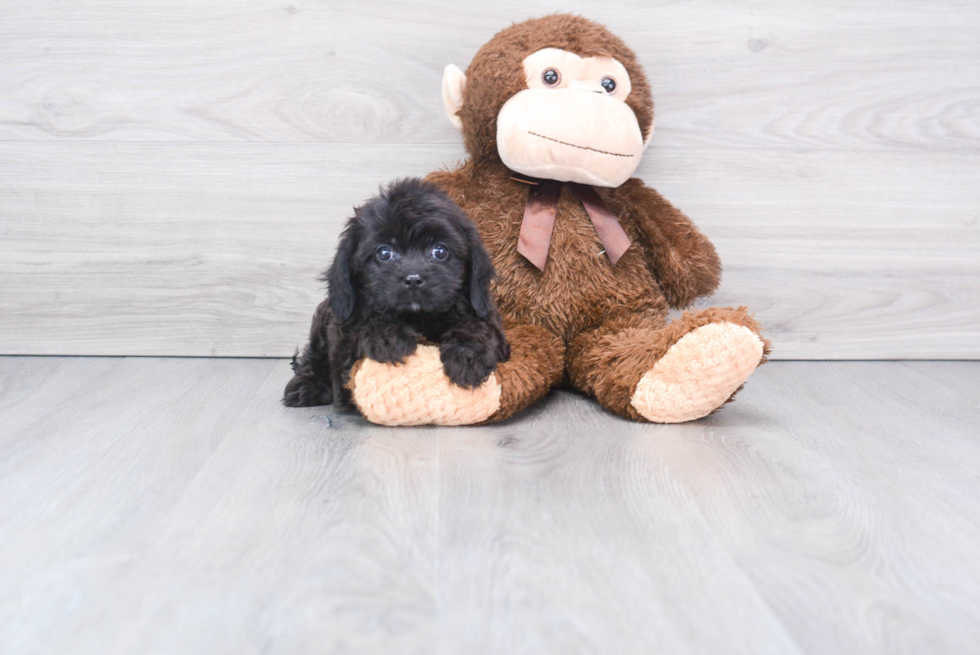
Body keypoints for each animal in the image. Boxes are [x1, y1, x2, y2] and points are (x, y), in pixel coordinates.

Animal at [282, 177, 510, 408]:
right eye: (384, 253)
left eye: (440, 251)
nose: (413, 279)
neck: (418, 317)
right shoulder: (343, 343)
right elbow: (362, 329)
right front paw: (388, 336)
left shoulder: (489, 321)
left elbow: (477, 327)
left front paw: (467, 357)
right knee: (314, 353)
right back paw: (305, 385)